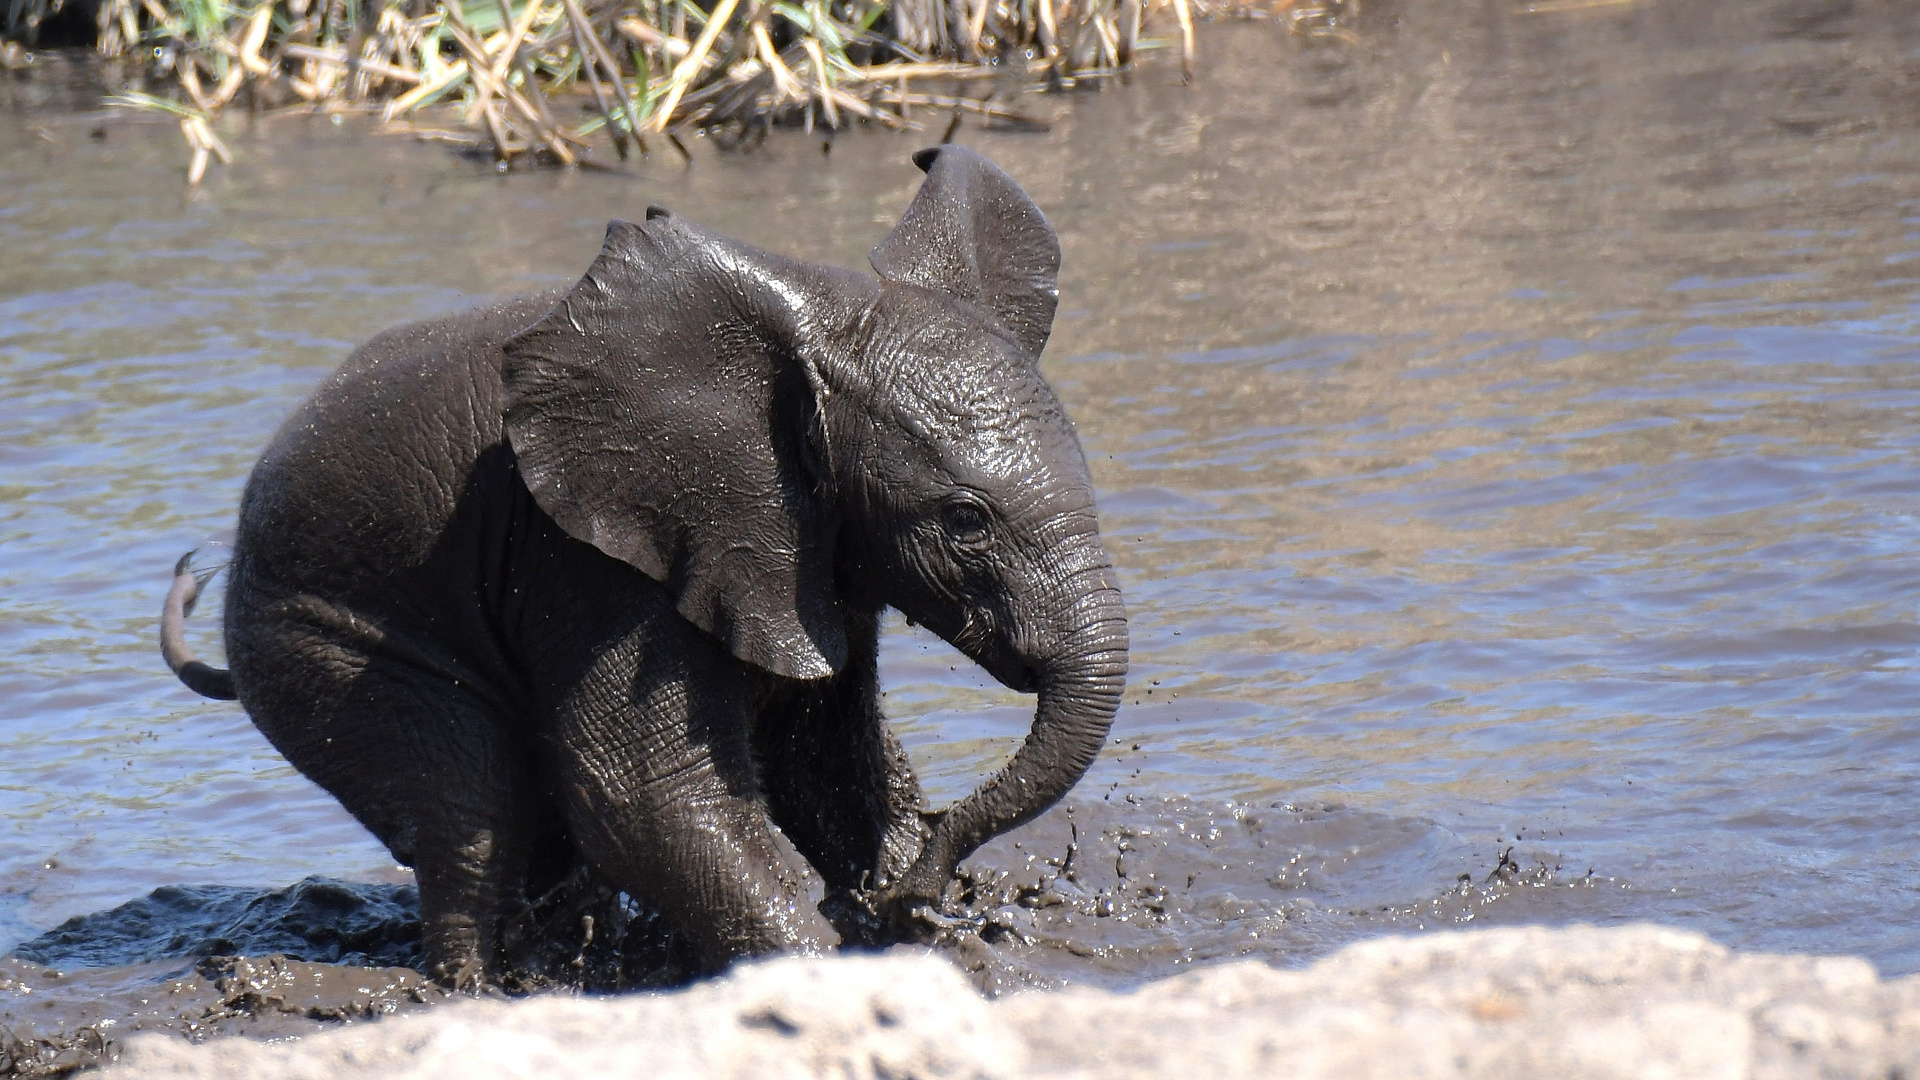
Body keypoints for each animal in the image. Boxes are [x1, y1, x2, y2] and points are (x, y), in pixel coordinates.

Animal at [165, 145, 1128, 983]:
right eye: (965, 521)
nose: (928, 884)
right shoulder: (598, 562)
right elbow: (644, 802)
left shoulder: (804, 545)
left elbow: (828, 762)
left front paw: (926, 934)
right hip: (319, 643)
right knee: (473, 808)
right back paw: (477, 992)